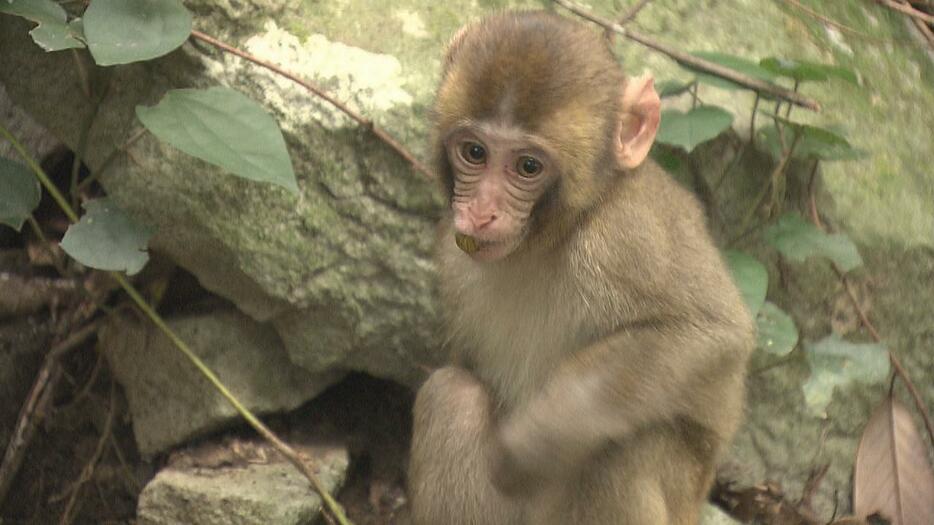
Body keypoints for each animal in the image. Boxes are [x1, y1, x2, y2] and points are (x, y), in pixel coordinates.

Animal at [410, 9, 752, 524]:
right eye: (474, 152)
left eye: (528, 166)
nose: (481, 213)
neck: (548, 239)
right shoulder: (453, 256)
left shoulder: (626, 239)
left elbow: (708, 333)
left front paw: (536, 441)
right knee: (452, 397)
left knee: (621, 451)